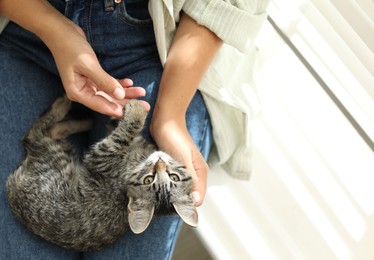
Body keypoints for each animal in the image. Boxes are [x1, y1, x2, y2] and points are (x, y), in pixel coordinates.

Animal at [6, 96, 199, 251]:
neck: (139, 159)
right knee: (49, 132)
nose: (159, 162)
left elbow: (125, 132)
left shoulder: (101, 156)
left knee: (36, 134)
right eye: (149, 179)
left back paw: (64, 104)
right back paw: (85, 119)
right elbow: (123, 129)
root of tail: (11, 191)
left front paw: (136, 111)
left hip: (55, 157)